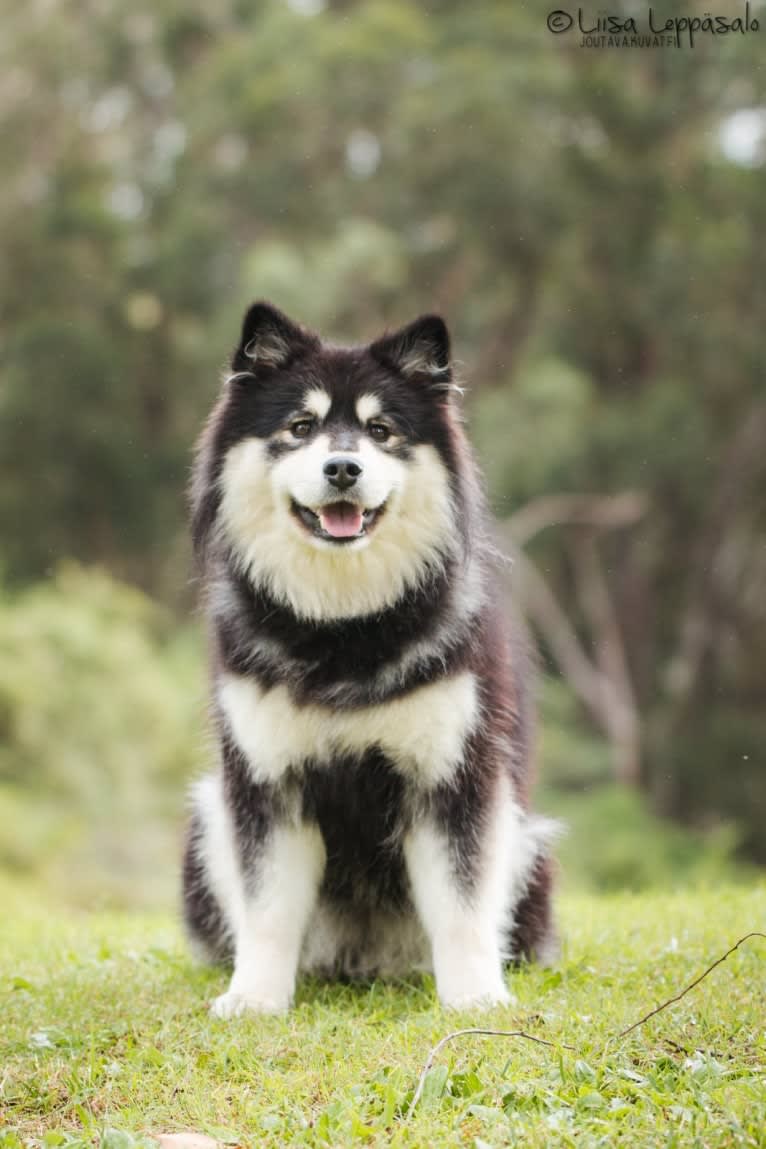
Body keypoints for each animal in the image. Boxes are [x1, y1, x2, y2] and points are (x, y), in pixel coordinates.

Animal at [183, 298, 560, 1015]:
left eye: (381, 431)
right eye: (301, 427)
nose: (342, 468)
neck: (343, 628)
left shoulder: (454, 775)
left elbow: (462, 904)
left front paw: (474, 999)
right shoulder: (268, 781)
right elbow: (268, 907)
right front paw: (254, 1000)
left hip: (528, 847)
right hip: (205, 824)